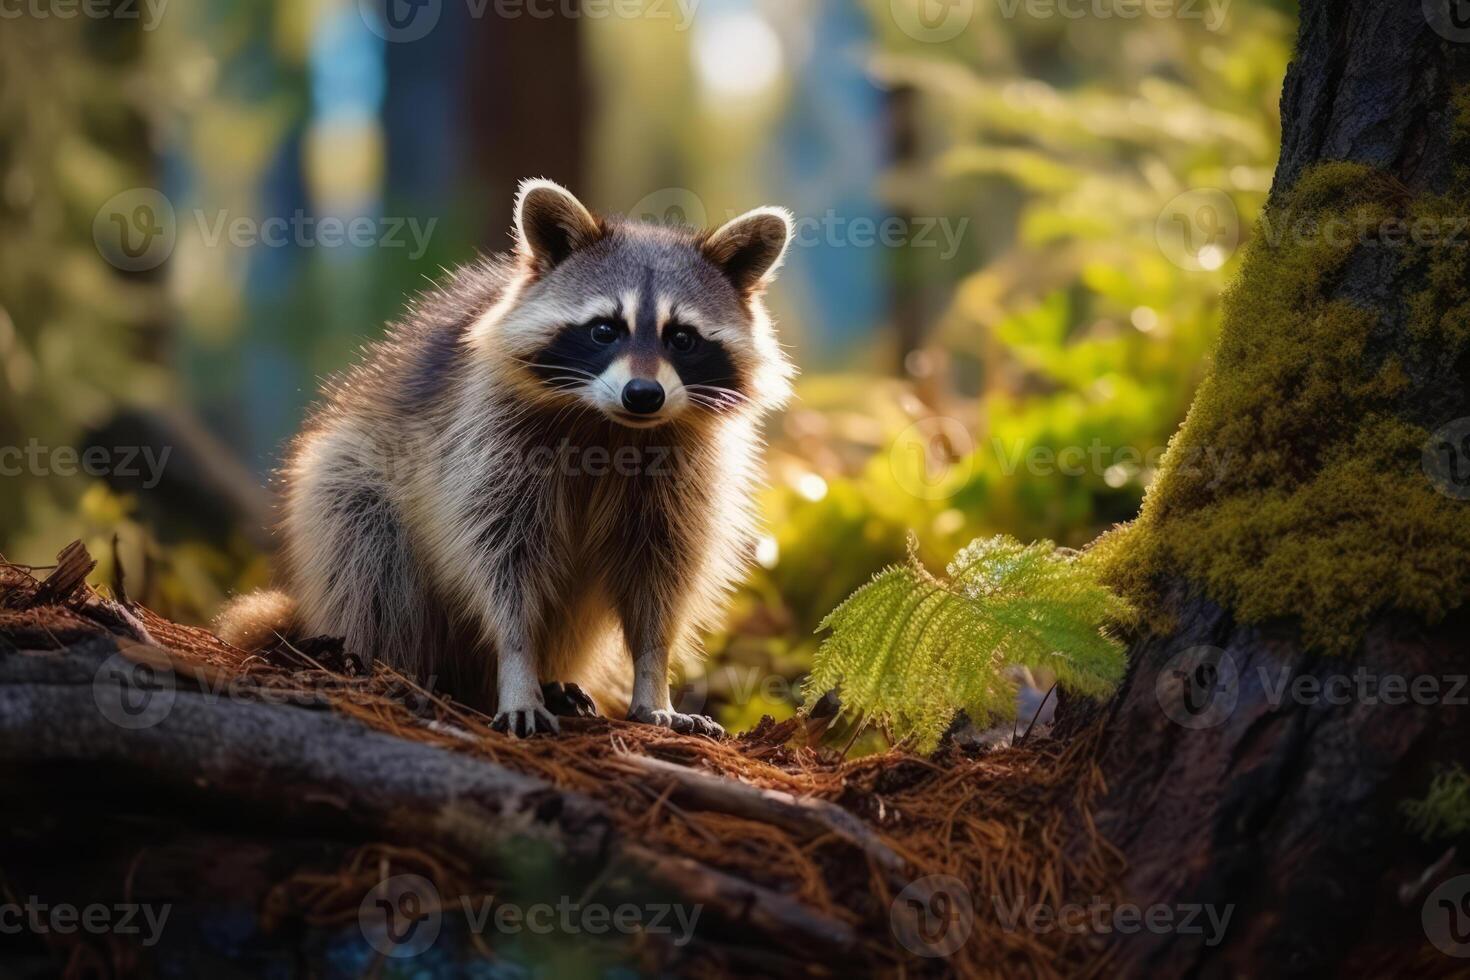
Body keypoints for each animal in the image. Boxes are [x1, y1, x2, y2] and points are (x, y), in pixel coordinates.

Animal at [214, 179, 799, 740]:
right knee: (366, 549)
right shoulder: (485, 439)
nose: (643, 394)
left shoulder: (682, 471)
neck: (609, 425)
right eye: (605, 329)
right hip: (349, 478)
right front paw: (518, 667)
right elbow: (500, 563)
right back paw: (382, 662)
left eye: (682, 338)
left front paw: (653, 680)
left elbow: (661, 575)